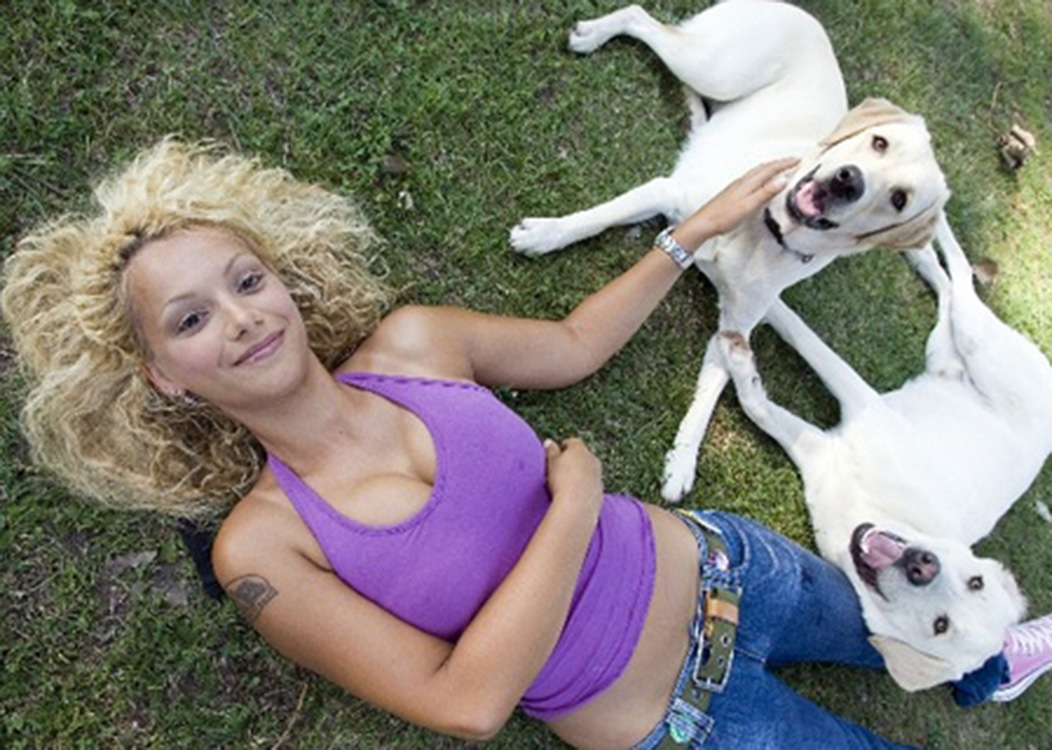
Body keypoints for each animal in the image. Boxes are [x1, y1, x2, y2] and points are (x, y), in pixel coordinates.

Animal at [510, 1, 950, 502]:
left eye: (899, 199)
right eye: (879, 143)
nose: (848, 180)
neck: (769, 230)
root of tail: (806, 16)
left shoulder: (734, 327)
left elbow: (709, 394)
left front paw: (682, 462)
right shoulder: (669, 194)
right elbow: (595, 217)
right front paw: (544, 234)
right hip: (712, 67)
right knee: (644, 19)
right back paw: (593, 35)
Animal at [717, 215, 1052, 690]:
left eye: (940, 626)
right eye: (976, 582)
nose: (923, 565)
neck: (879, 511)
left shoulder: (832, 438)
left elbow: (762, 395)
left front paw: (744, 344)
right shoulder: (855, 414)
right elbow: (802, 344)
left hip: (965, 350)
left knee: (958, 291)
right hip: (967, 347)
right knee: (957, 286)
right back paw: (928, 248)